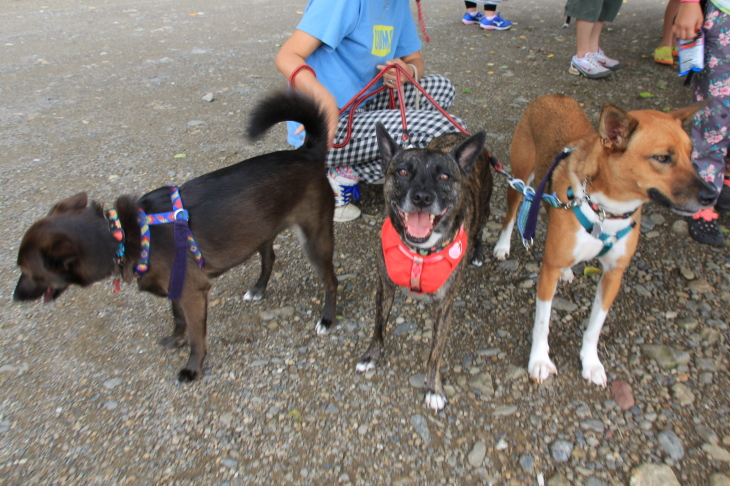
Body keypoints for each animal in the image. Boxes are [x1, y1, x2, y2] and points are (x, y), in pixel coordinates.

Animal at [13, 90, 338, 380]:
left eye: (29, 272)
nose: (15, 298)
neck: (124, 234)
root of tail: (305, 152)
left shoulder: (192, 292)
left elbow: (197, 336)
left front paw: (192, 368)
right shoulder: (176, 287)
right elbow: (178, 319)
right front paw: (175, 339)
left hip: (314, 241)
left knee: (331, 281)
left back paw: (327, 318)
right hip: (259, 230)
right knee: (269, 257)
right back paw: (258, 289)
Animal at [356, 126, 492, 410]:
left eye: (444, 176)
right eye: (402, 172)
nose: (421, 197)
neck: (420, 250)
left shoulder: (444, 306)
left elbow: (435, 353)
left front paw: (433, 388)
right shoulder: (384, 287)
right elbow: (378, 326)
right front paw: (371, 355)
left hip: (485, 209)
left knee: (479, 232)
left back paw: (477, 254)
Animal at [492, 93, 712, 386]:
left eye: (691, 154)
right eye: (662, 158)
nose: (712, 195)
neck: (607, 210)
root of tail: (553, 96)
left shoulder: (613, 275)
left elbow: (595, 327)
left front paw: (591, 362)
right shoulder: (548, 271)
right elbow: (542, 323)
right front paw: (539, 360)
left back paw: (567, 272)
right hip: (519, 177)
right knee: (510, 214)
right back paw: (503, 246)